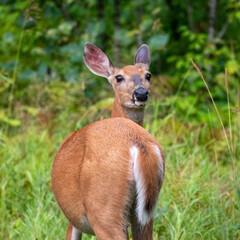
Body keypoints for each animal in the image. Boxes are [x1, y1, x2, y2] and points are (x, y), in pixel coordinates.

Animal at [51, 43, 165, 240]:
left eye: (148, 75)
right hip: (145, 213)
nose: (141, 93)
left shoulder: (73, 218)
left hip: (104, 207)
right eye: (119, 77)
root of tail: (138, 143)